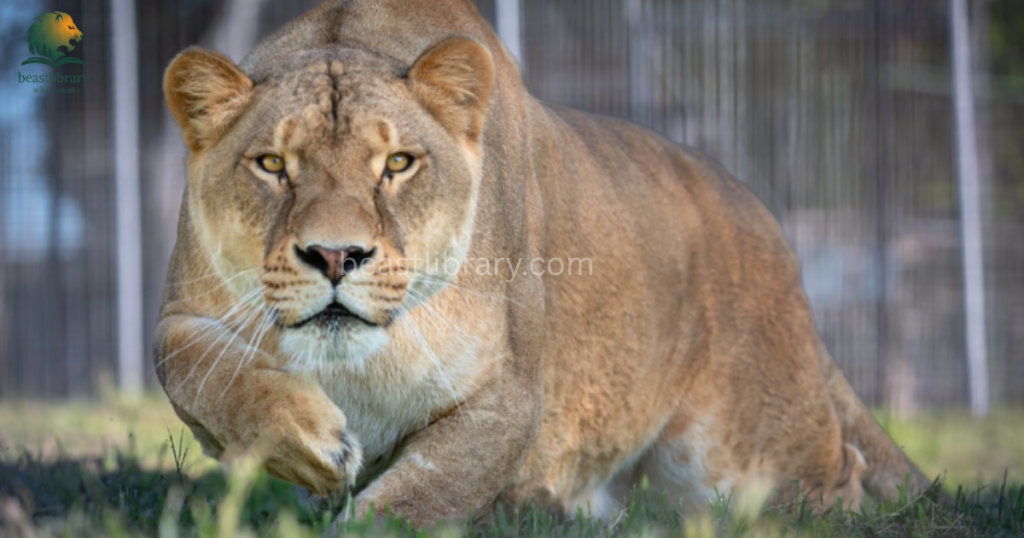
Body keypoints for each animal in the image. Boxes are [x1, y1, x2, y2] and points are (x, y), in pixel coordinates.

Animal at [156, 0, 932, 527]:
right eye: (271, 164)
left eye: (398, 164)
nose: (334, 254)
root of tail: (762, 214)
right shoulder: (183, 313)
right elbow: (197, 373)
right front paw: (316, 447)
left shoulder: (511, 391)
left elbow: (419, 497)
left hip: (743, 455)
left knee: (838, 478)